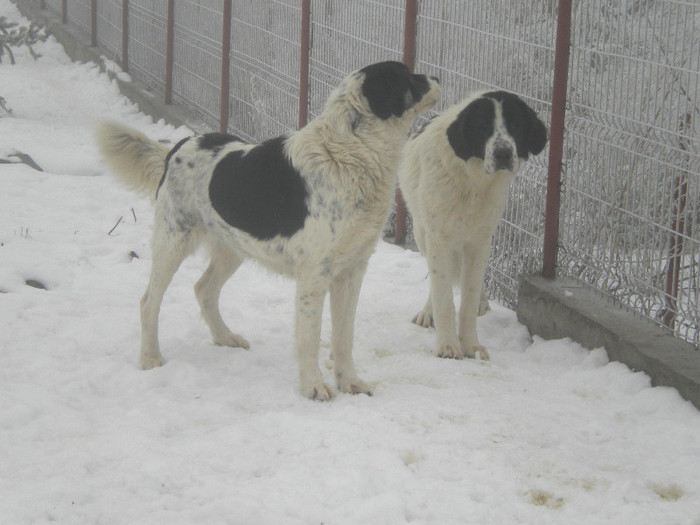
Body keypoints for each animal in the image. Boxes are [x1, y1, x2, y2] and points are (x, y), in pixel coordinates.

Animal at [98, 61, 440, 398]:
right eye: (407, 76)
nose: (438, 76)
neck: (349, 153)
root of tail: (180, 146)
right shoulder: (314, 276)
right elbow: (310, 337)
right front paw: (313, 386)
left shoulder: (352, 271)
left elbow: (344, 336)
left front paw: (350, 382)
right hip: (173, 241)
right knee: (148, 302)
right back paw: (150, 358)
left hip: (232, 248)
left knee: (204, 289)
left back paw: (224, 337)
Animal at [400, 90, 548, 360]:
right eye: (482, 127)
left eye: (516, 125)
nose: (503, 154)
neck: (473, 181)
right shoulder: (439, 239)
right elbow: (444, 297)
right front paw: (448, 346)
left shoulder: (479, 242)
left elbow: (467, 299)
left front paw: (471, 346)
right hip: (422, 234)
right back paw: (428, 313)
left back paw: (481, 302)